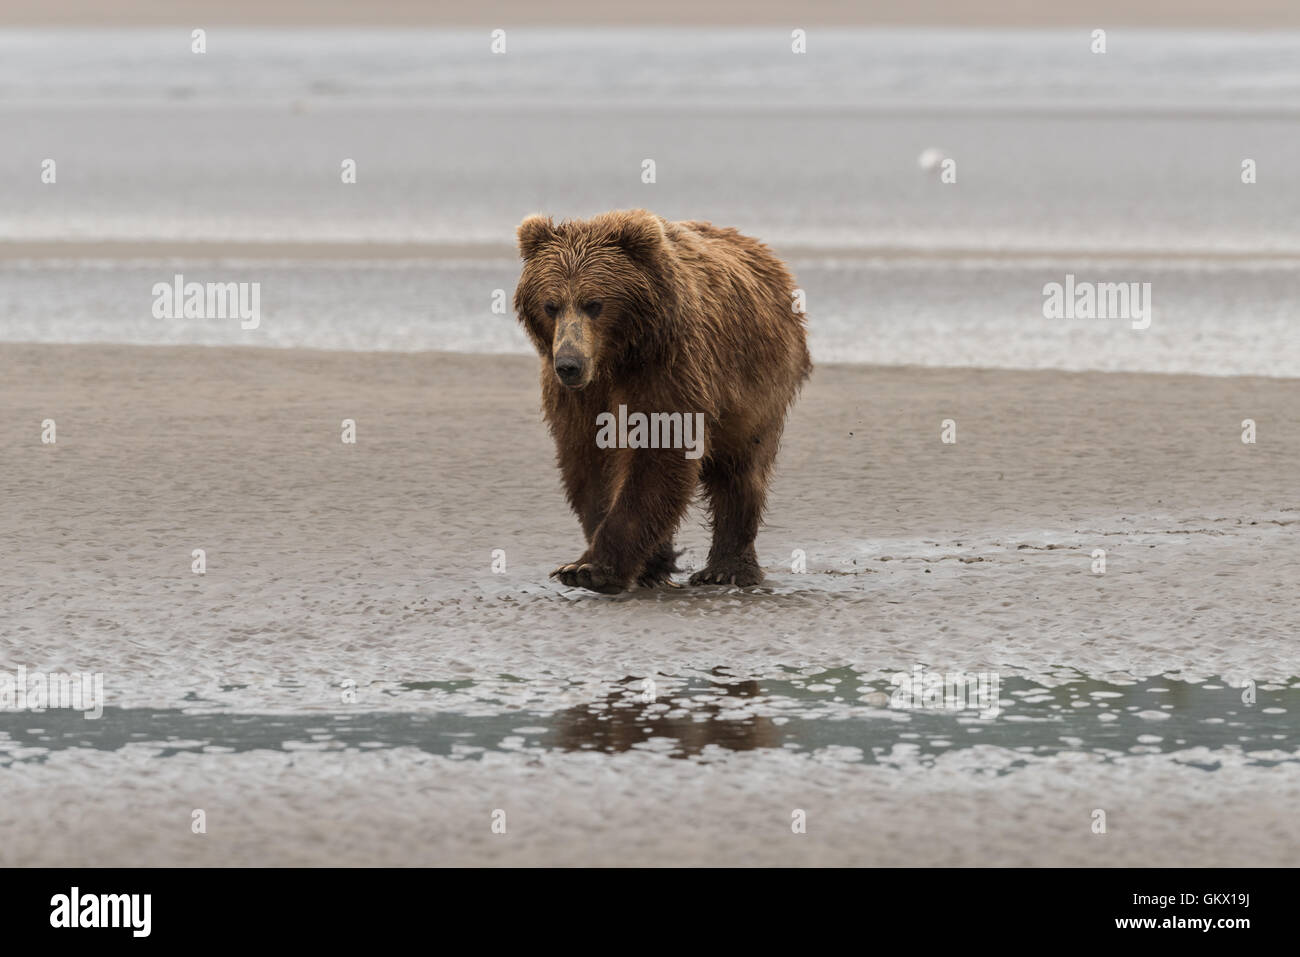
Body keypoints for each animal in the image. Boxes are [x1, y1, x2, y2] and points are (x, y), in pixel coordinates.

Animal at [509, 210, 806, 590]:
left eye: (594, 304)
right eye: (551, 305)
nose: (569, 365)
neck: (617, 358)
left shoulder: (668, 370)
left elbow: (659, 454)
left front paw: (591, 568)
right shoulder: (580, 398)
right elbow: (591, 463)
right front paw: (641, 563)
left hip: (757, 383)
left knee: (741, 470)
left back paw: (725, 568)